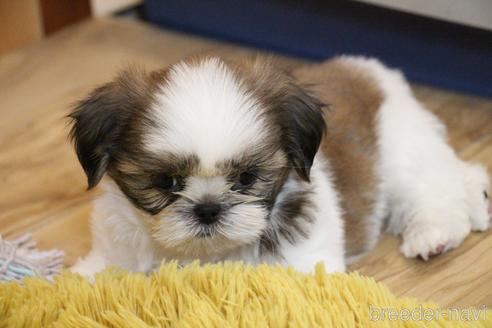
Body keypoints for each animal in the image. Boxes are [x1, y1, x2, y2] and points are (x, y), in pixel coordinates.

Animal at [70, 55, 492, 276]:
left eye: (246, 178)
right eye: (167, 182)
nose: (208, 209)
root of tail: (370, 71)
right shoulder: (114, 254)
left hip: (401, 149)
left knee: (433, 192)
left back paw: (433, 234)